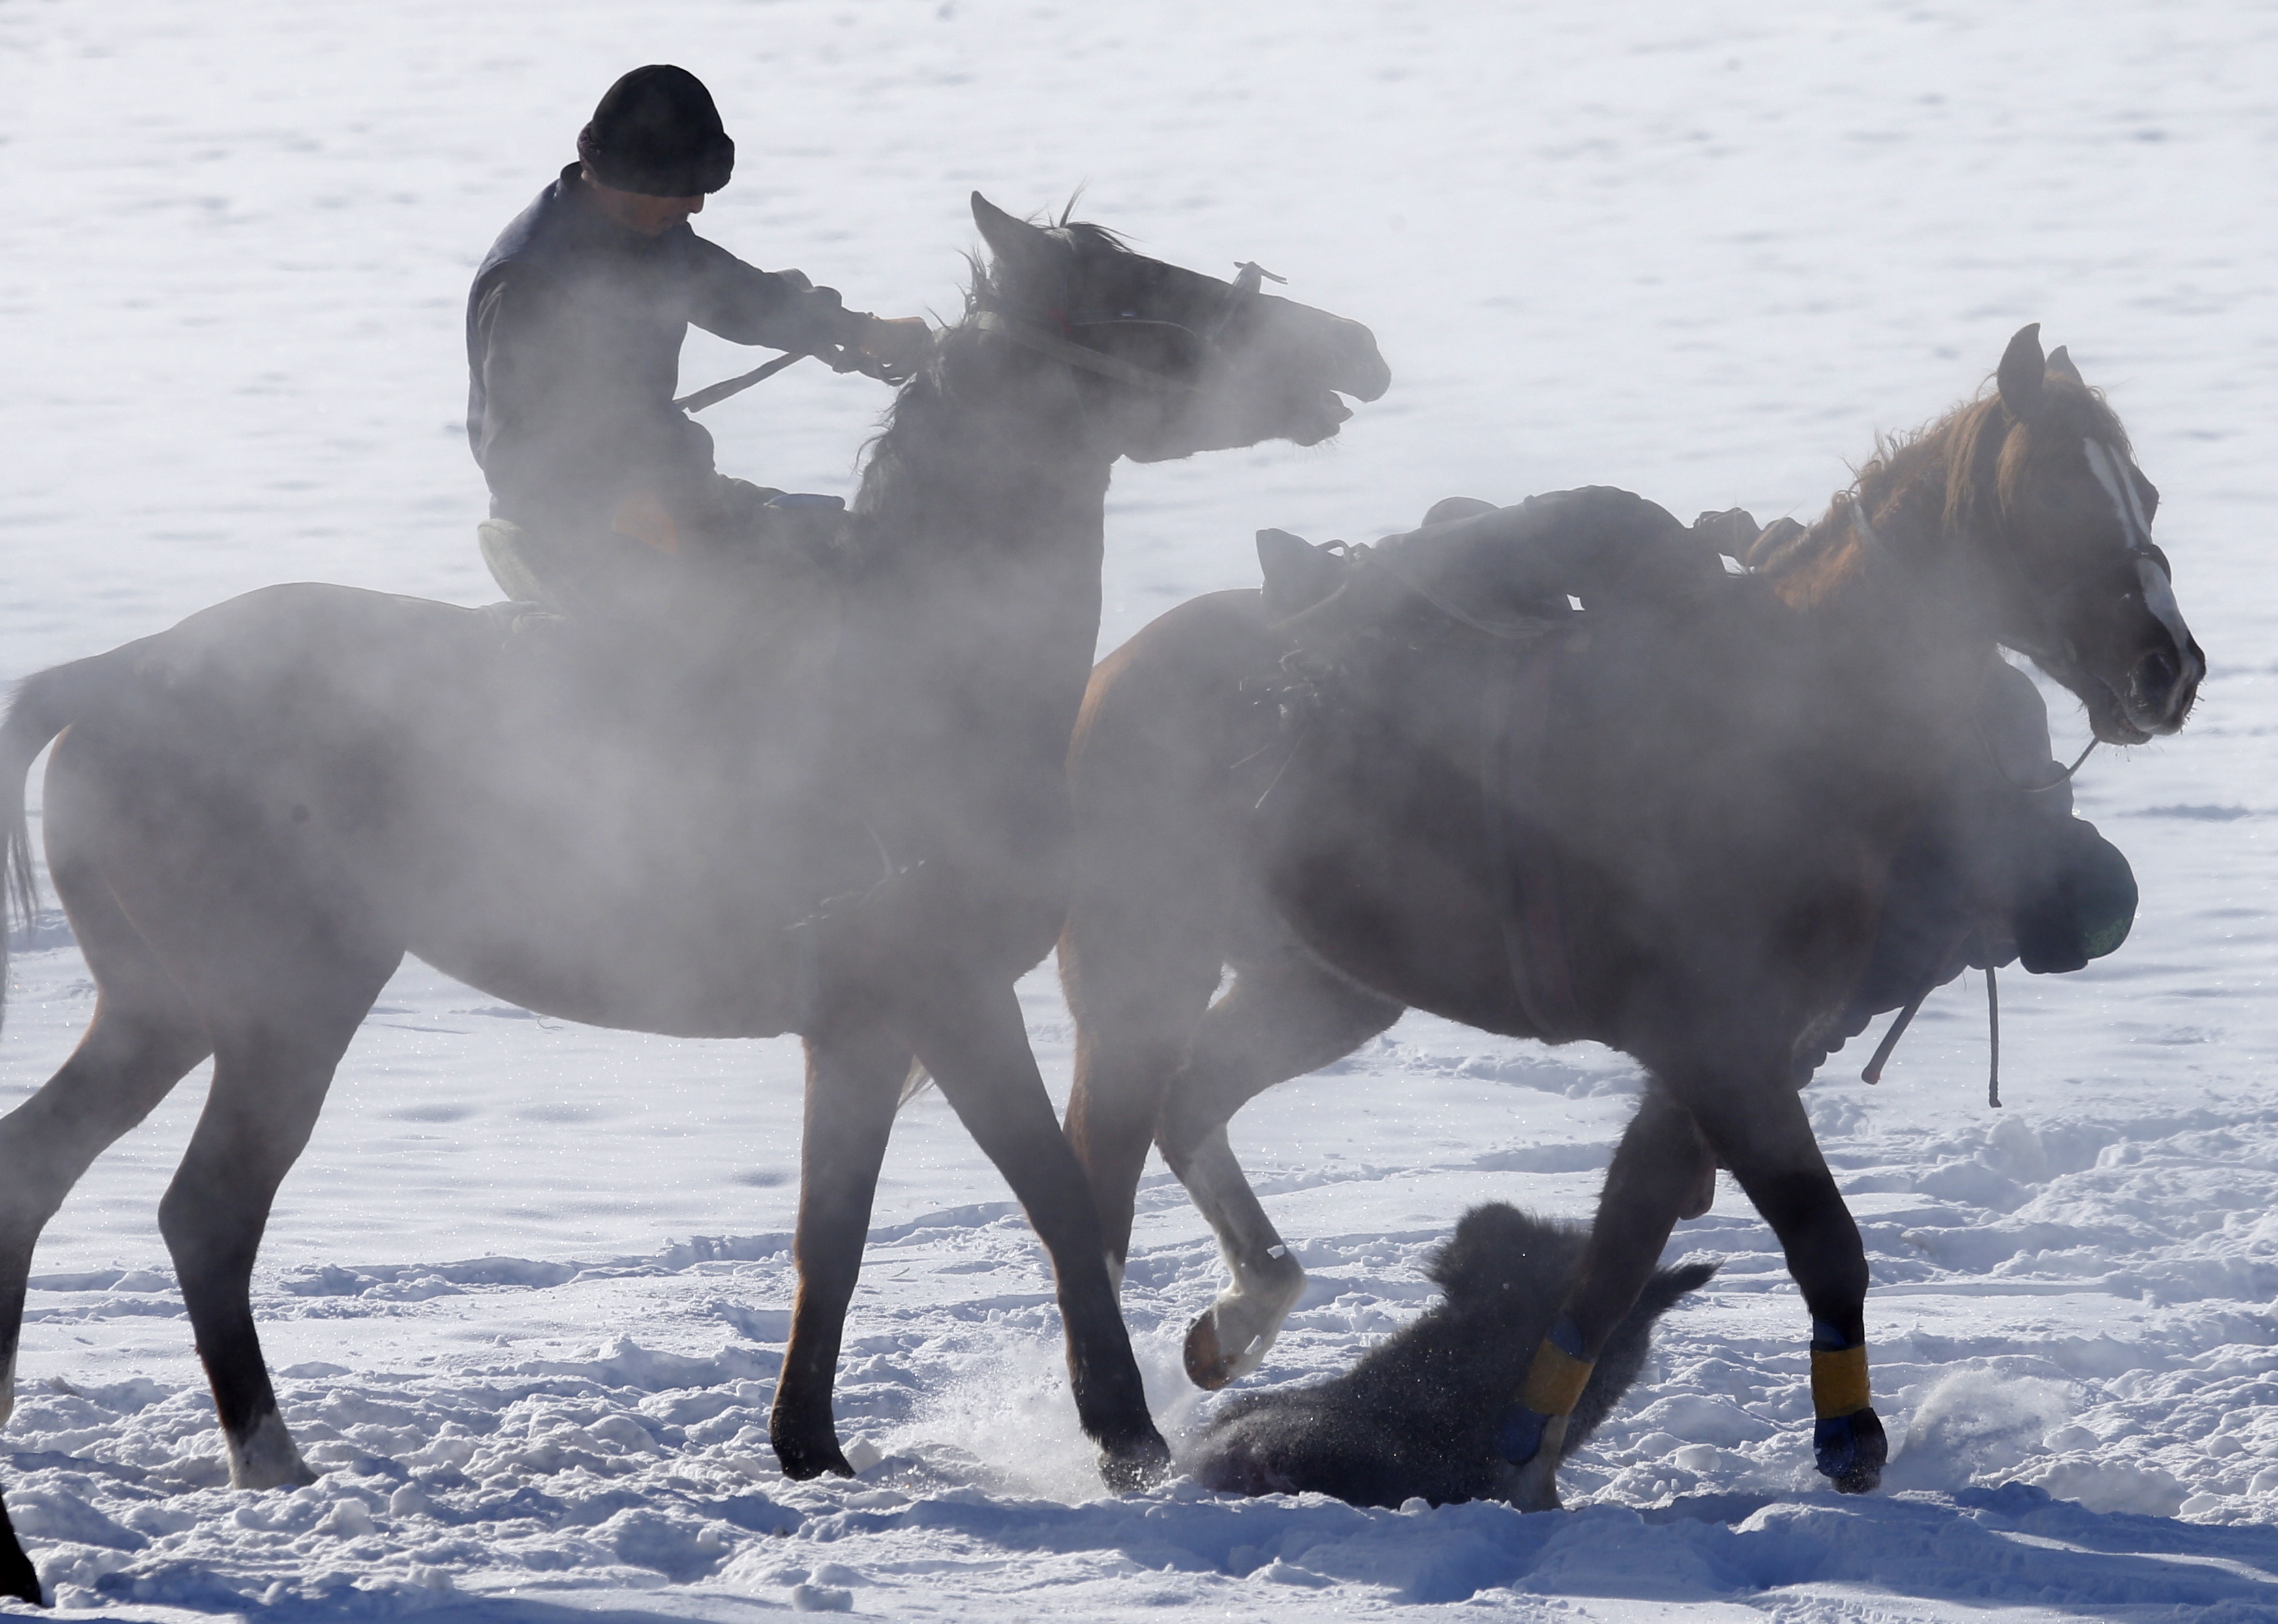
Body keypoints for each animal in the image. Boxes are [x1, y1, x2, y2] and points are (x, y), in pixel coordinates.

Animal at [0, 193, 1385, 1594]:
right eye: (1139, 293)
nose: (1355, 347)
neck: (935, 673)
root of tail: (110, 674)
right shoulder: (948, 999)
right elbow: (1052, 1192)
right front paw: (1125, 1436)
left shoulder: (860, 1030)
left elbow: (832, 1231)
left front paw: (810, 1445)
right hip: (285, 1014)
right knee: (207, 1213)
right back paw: (270, 1457)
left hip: (161, 1015)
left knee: (37, 1166)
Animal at [1057, 325, 2196, 1503]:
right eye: (2053, 496)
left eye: (2146, 493)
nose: (2170, 667)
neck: (1787, 727)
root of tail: (1111, 672)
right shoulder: (1718, 1051)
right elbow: (1821, 1238)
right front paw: (1847, 1435)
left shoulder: (1725, 1066)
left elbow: (1612, 1265)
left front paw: (1527, 1442)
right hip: (1139, 967)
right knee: (1095, 1176)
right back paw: (1122, 1425)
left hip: (1320, 986)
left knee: (1193, 1100)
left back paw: (1240, 1317)